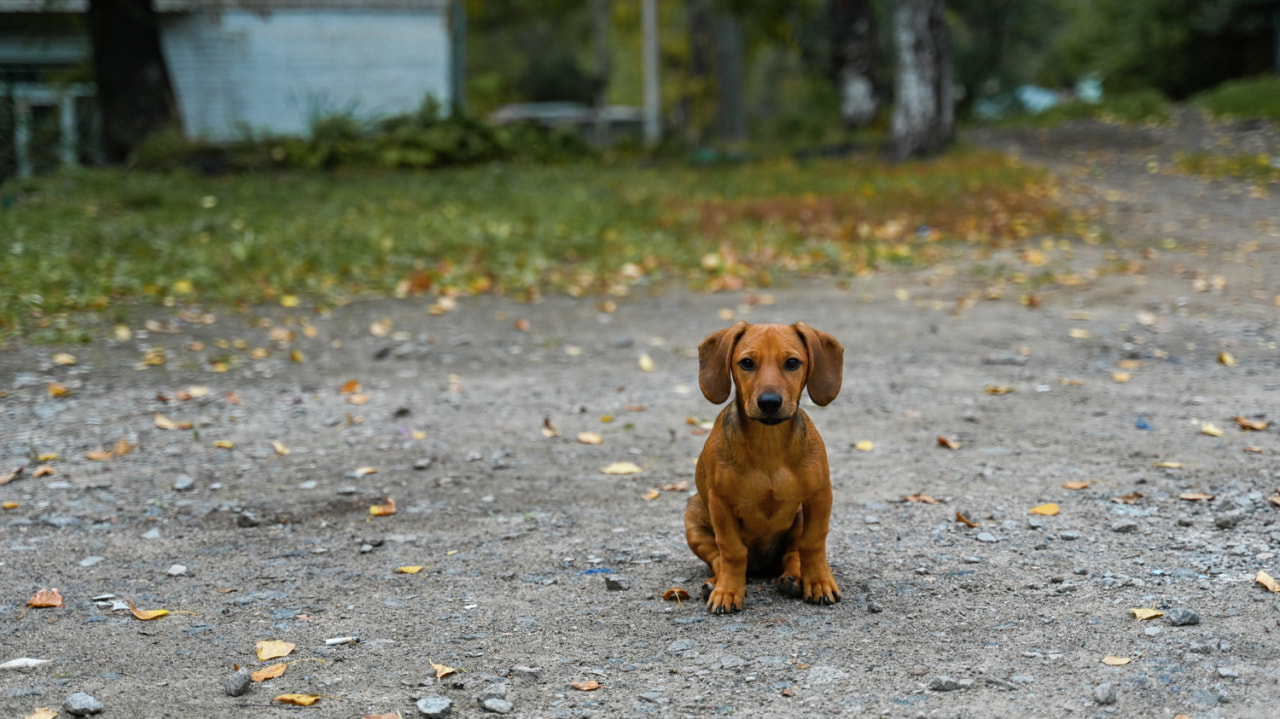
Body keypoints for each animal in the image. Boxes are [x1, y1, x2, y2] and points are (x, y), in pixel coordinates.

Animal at [686, 318, 844, 608]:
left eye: (792, 362)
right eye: (747, 363)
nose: (769, 403)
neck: (769, 446)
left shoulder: (820, 496)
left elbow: (813, 543)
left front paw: (819, 582)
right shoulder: (720, 503)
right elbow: (731, 551)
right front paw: (727, 591)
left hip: (798, 518)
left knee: (792, 554)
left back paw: (793, 578)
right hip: (693, 518)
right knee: (717, 558)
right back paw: (714, 583)